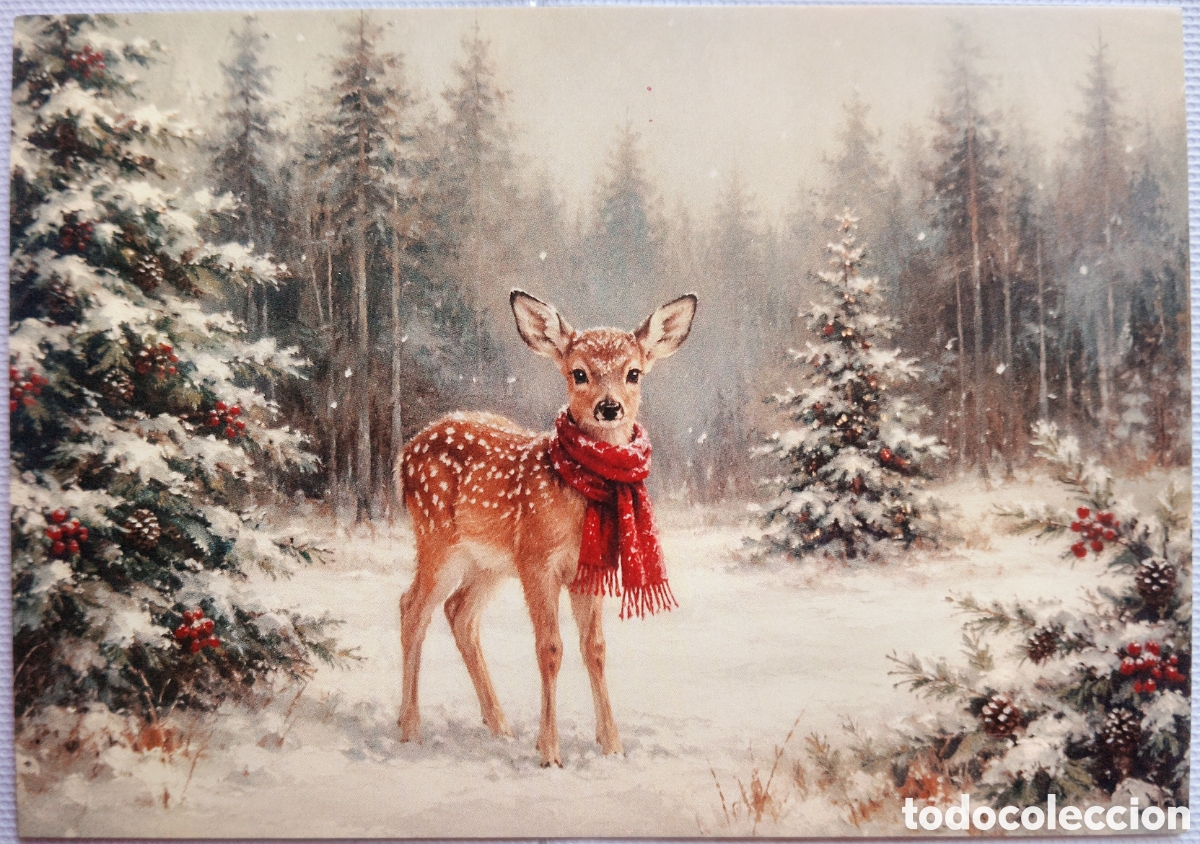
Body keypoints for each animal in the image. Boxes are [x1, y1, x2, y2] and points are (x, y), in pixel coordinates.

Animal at [397, 289, 697, 767]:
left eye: (633, 373)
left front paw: (612, 745)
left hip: (489, 561)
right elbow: (550, 648)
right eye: (579, 373)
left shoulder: (587, 569)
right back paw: (410, 729)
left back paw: (499, 726)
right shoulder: (537, 560)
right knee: (412, 609)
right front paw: (551, 753)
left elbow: (595, 648)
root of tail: (405, 453)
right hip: (436, 538)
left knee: (459, 612)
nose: (609, 407)